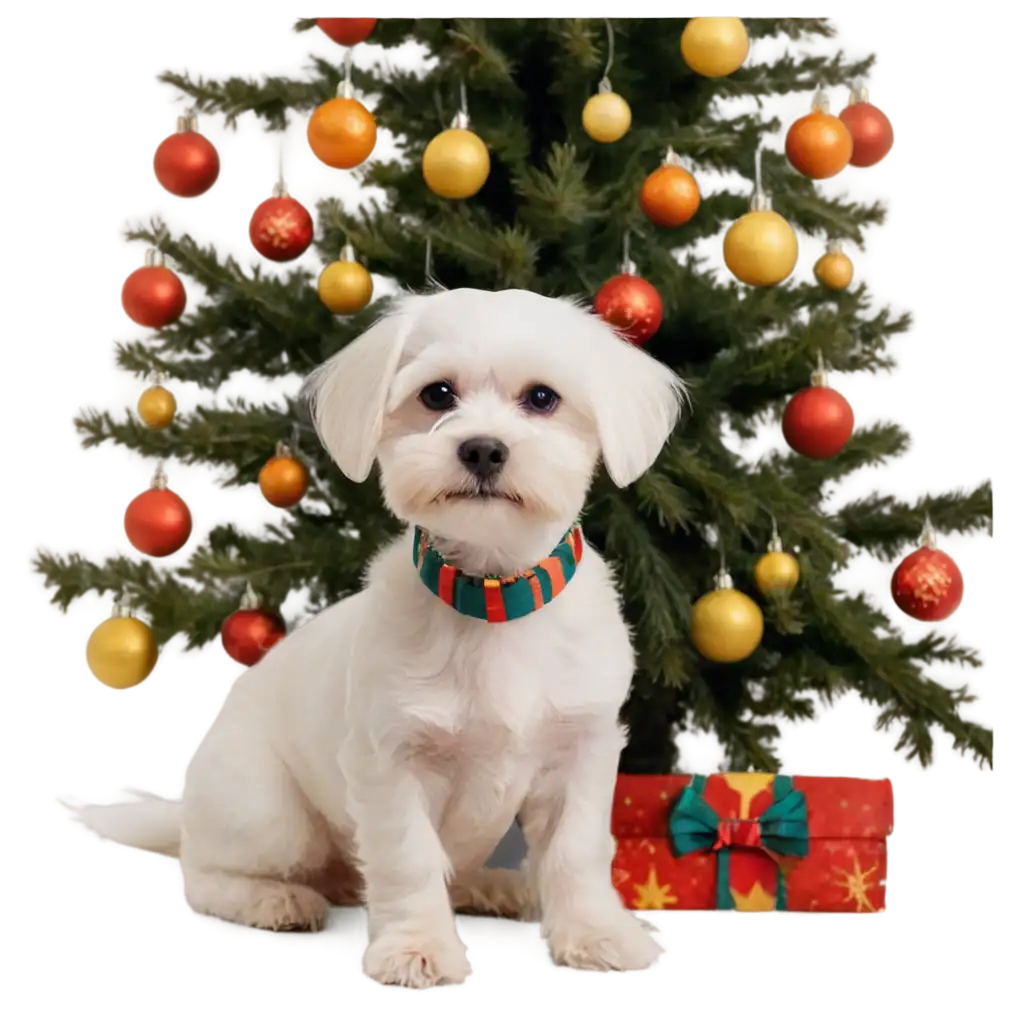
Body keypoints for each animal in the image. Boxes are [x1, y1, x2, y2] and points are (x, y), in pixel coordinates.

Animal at [49, 286, 688, 983]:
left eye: (542, 398)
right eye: (437, 395)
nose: (483, 449)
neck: (493, 598)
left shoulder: (583, 751)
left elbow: (577, 851)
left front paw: (595, 932)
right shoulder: (391, 762)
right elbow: (409, 858)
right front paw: (418, 946)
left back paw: (487, 885)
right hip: (272, 816)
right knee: (203, 873)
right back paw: (275, 900)